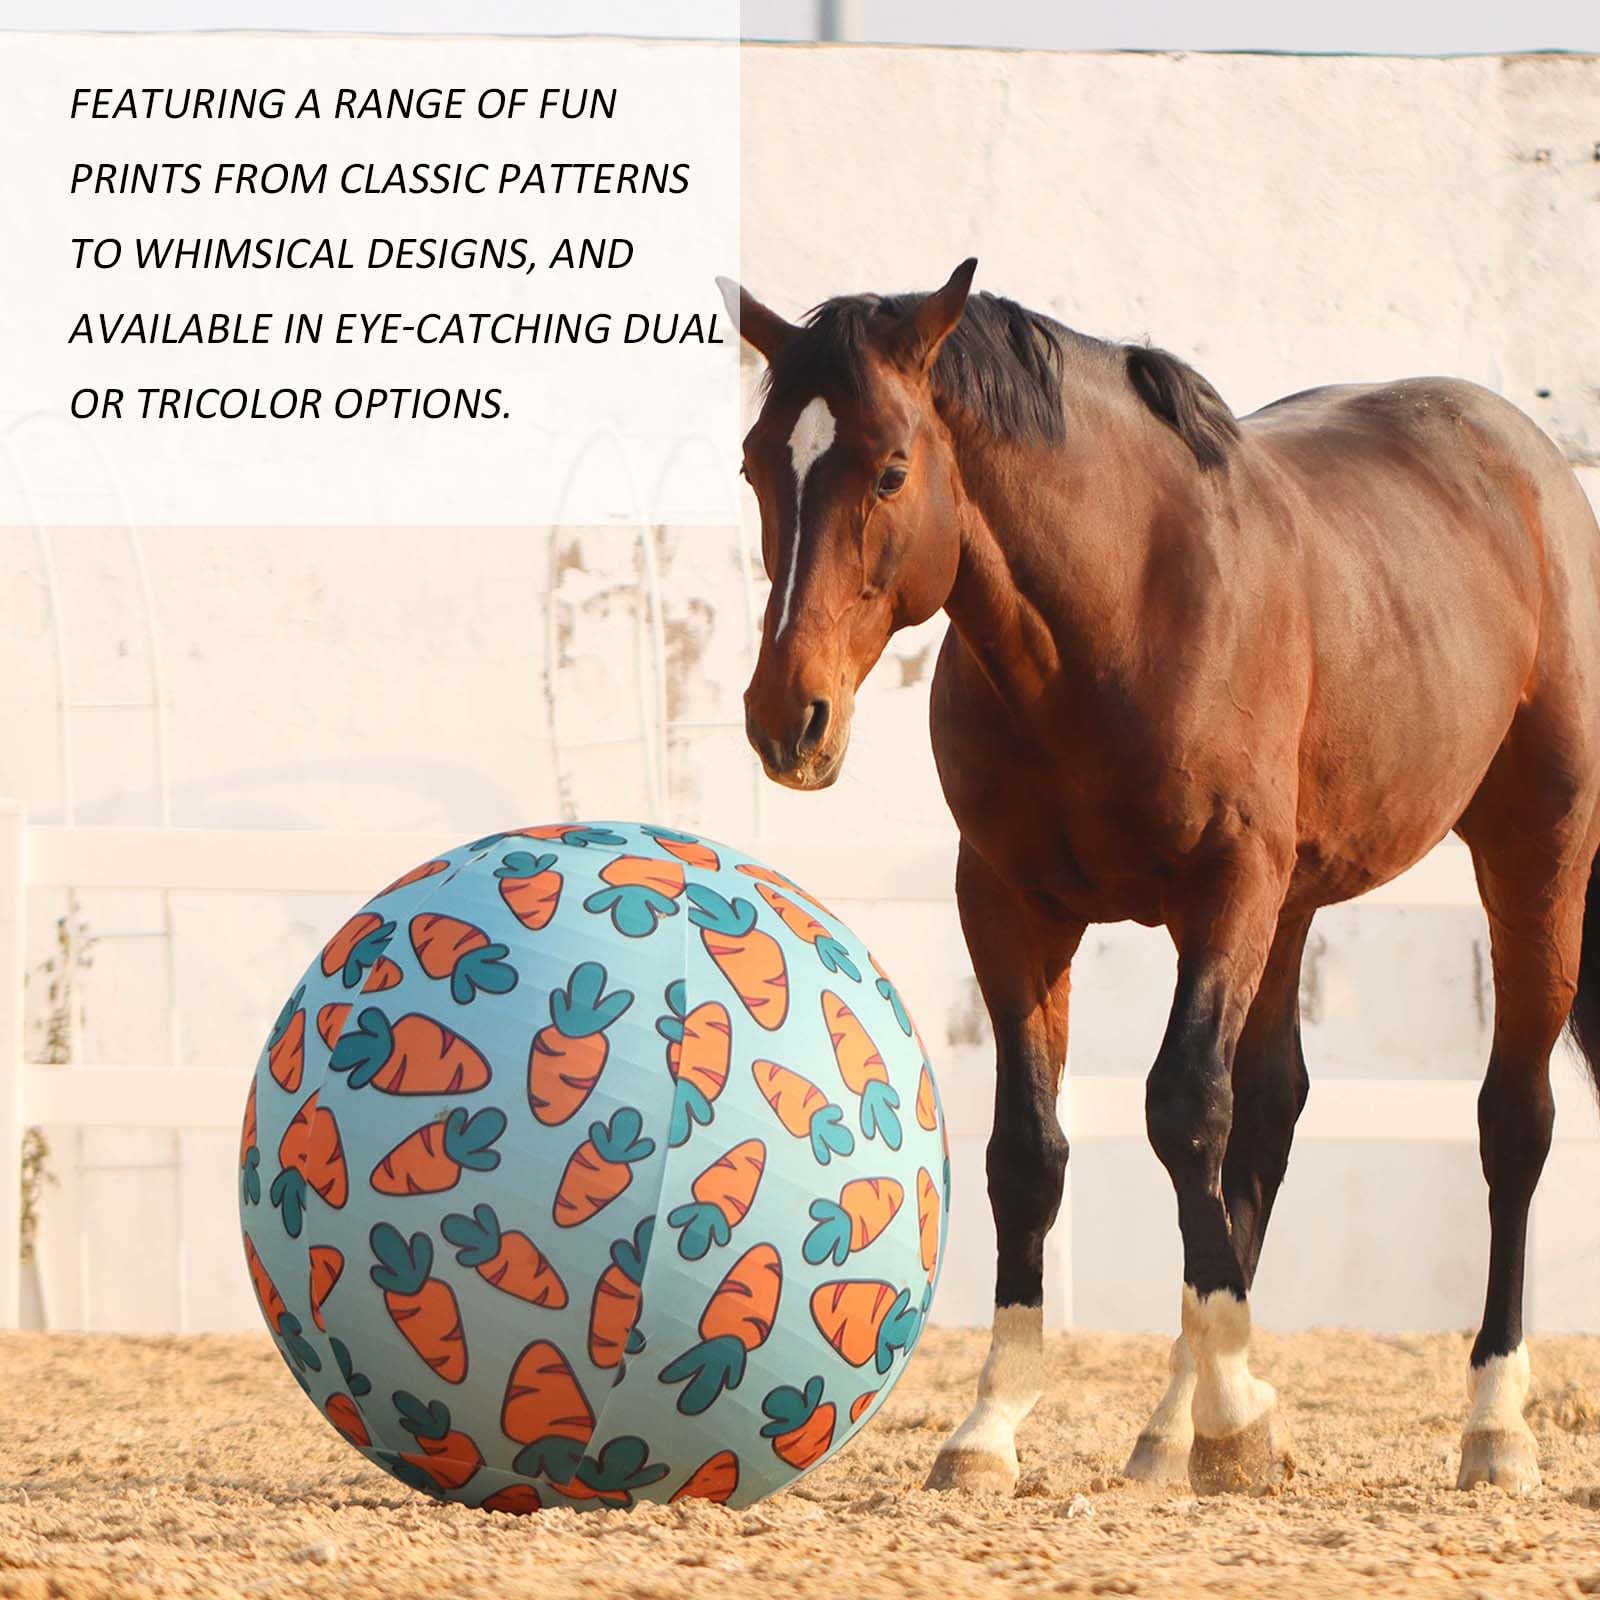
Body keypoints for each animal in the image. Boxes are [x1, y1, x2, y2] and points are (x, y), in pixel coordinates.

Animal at [715, 259, 1600, 1496]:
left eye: (890, 465)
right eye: (759, 461)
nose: (785, 718)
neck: (1121, 612)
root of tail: (1528, 462)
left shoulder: (1223, 886)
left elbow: (1181, 1108)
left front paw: (1235, 1415)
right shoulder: (1010, 908)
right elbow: (1031, 1151)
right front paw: (992, 1423)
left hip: (1534, 856)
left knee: (1509, 1121)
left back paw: (1491, 1421)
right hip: (1294, 903)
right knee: (1268, 1117)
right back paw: (1173, 1421)